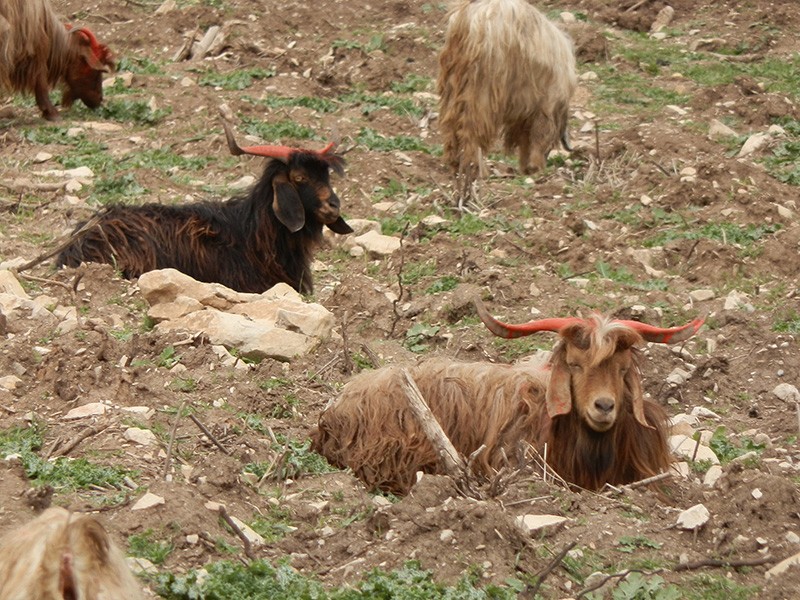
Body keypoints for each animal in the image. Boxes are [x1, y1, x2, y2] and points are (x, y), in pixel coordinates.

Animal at [438, 0, 576, 186]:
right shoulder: (546, 103)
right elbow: (539, 135)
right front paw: (535, 168)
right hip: (482, 89)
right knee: (471, 129)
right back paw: (478, 170)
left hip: (453, 85)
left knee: (450, 127)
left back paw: (454, 165)